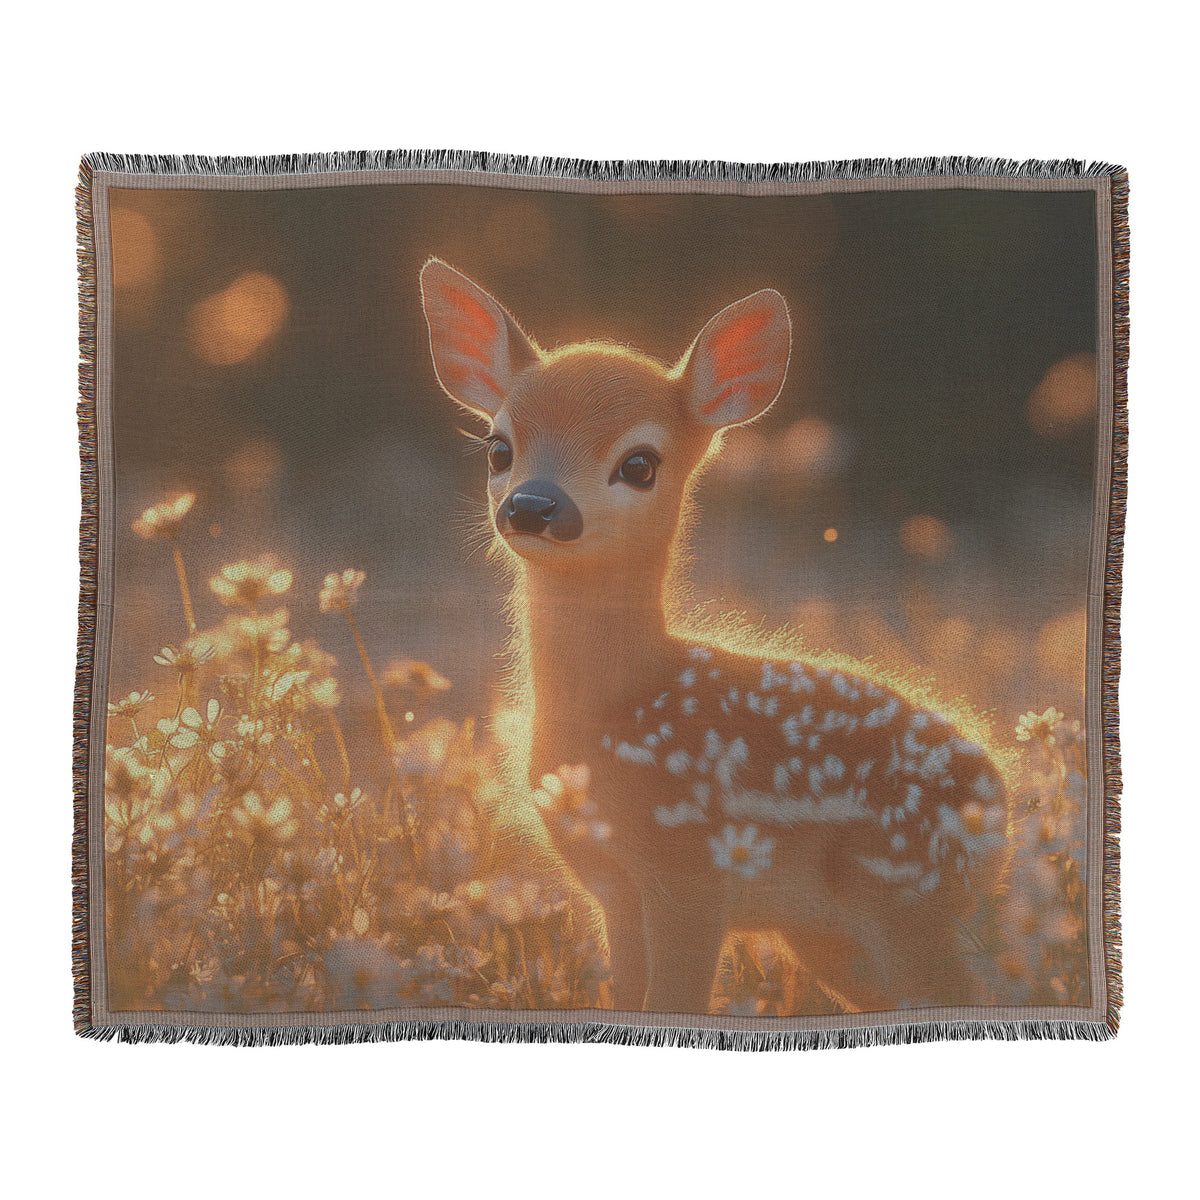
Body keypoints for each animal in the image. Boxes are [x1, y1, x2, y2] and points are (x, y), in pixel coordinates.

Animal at [419, 257, 1013, 1016]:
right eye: (500, 448)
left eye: (639, 463)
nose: (534, 505)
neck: (615, 707)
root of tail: (1001, 807)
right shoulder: (614, 886)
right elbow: (629, 995)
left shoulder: (690, 867)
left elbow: (676, 996)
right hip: (835, 935)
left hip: (909, 895)